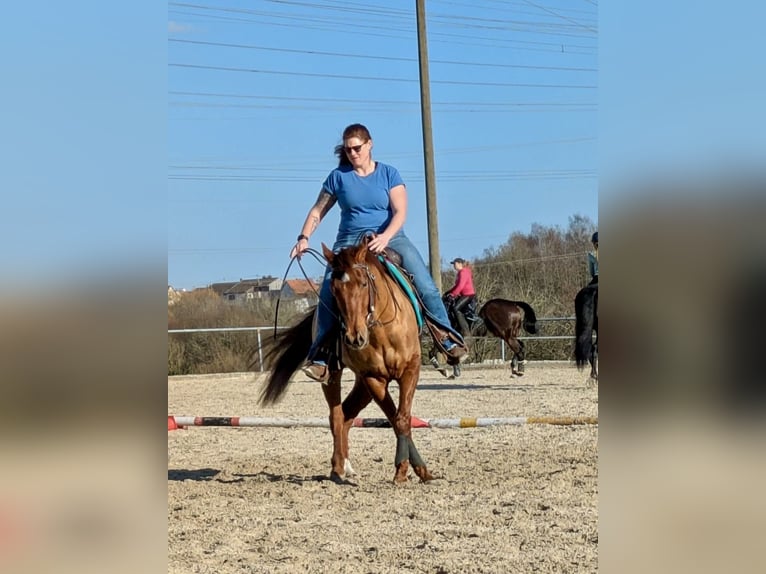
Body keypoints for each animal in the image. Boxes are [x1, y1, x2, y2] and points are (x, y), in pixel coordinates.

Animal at [258, 238, 434, 484]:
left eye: (363, 283)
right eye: (333, 289)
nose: (353, 337)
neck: (381, 329)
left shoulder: (410, 370)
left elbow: (402, 418)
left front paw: (416, 469)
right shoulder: (373, 378)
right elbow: (395, 419)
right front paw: (403, 468)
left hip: (362, 384)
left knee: (347, 415)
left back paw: (345, 466)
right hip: (335, 377)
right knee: (337, 416)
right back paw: (338, 467)